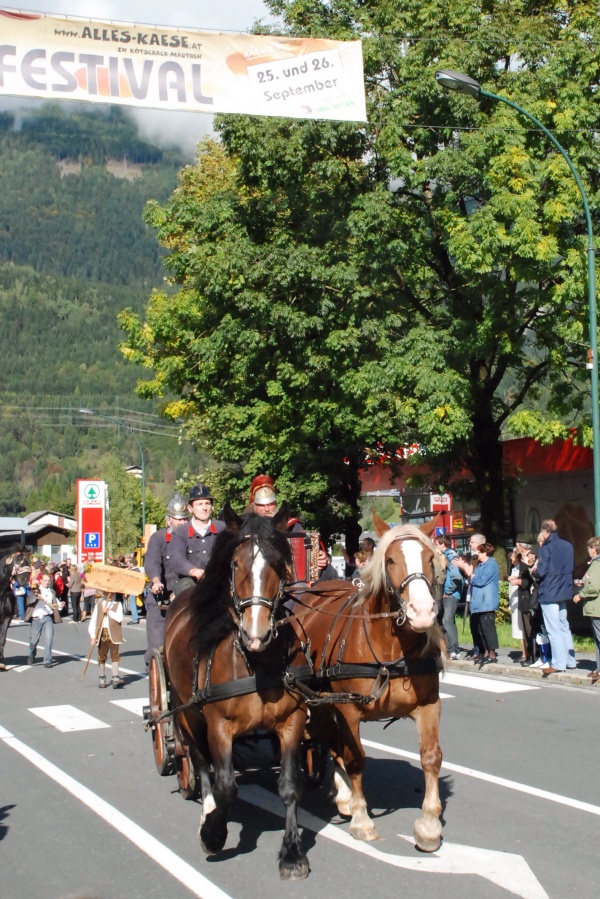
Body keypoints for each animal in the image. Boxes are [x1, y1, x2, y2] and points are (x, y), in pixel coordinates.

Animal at [163, 502, 310, 884]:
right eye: (234, 564)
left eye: (279, 563)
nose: (255, 634)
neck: (255, 662)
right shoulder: (219, 726)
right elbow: (226, 786)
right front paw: (213, 834)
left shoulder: (291, 722)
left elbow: (289, 786)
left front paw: (292, 854)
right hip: (186, 712)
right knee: (201, 763)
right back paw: (207, 810)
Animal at [288, 516, 448, 856]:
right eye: (390, 560)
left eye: (430, 558)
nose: (422, 612)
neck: (391, 648)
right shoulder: (349, 709)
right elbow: (356, 758)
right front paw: (362, 819)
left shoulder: (429, 704)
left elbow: (431, 757)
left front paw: (429, 826)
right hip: (319, 703)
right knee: (333, 744)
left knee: (331, 743)